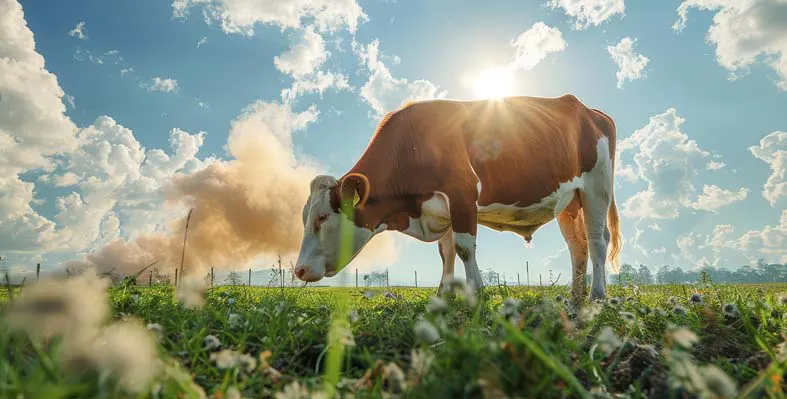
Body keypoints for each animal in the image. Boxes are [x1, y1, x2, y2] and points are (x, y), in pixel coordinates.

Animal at [294, 94, 620, 304]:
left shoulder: (462, 194)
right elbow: (446, 252)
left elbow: (463, 248)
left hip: (597, 188)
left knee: (596, 240)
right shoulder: (441, 209)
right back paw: (575, 297)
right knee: (577, 245)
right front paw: (444, 295)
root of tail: (590, 111)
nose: (299, 270)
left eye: (323, 217)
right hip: (569, 202)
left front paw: (477, 292)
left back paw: (598, 296)